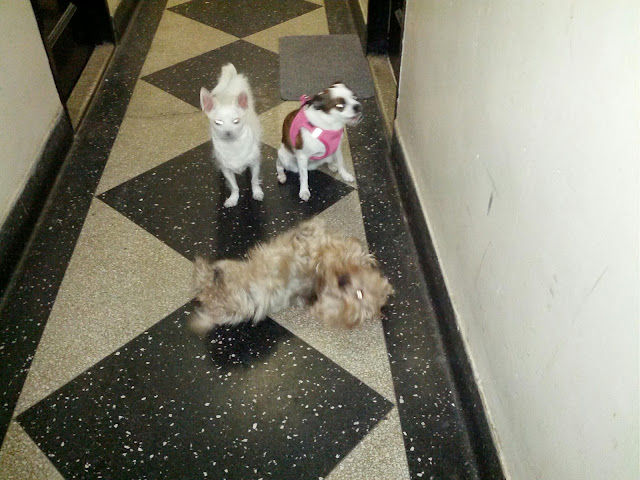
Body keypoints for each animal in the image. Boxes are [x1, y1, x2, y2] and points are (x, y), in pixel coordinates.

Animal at [200, 63, 263, 207]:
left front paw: (257, 192)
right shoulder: (226, 169)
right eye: (218, 123)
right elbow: (234, 186)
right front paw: (233, 199)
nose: (228, 132)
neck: (233, 146)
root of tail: (232, 79)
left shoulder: (255, 163)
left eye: (236, 121)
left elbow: (254, 180)